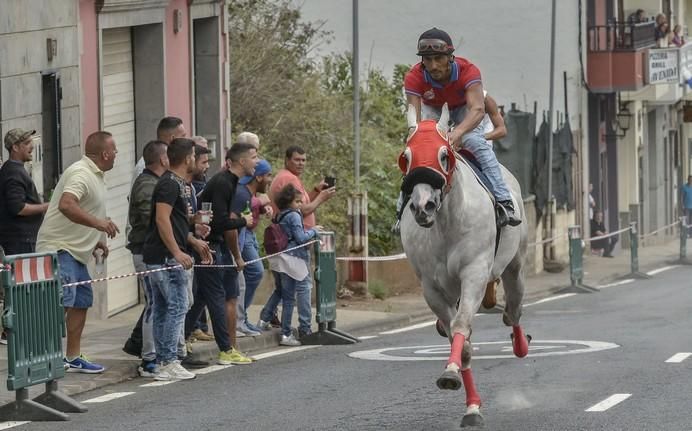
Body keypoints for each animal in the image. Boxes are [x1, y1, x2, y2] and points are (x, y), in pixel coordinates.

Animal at [394, 104, 528, 428]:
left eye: (444, 154)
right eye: (406, 157)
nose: (422, 206)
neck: (446, 224)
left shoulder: (474, 274)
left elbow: (462, 324)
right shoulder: (431, 287)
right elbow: (461, 338)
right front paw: (467, 398)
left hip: (514, 266)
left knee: (514, 310)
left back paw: (520, 344)